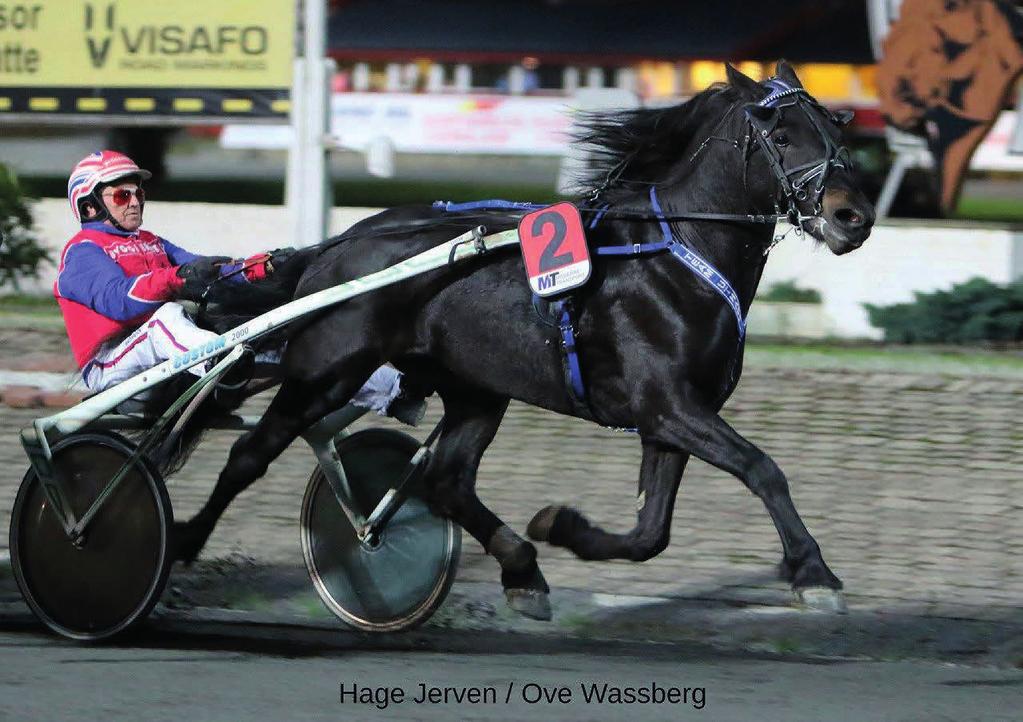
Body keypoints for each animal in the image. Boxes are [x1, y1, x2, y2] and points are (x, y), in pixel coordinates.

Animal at [173, 61, 871, 617]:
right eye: (780, 134)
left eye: (837, 131)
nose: (852, 216)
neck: (678, 253)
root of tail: (337, 245)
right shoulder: (668, 405)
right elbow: (762, 469)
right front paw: (815, 573)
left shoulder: (672, 416)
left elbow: (651, 534)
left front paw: (563, 527)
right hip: (327, 372)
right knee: (251, 453)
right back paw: (185, 540)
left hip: (475, 389)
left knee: (447, 480)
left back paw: (522, 568)